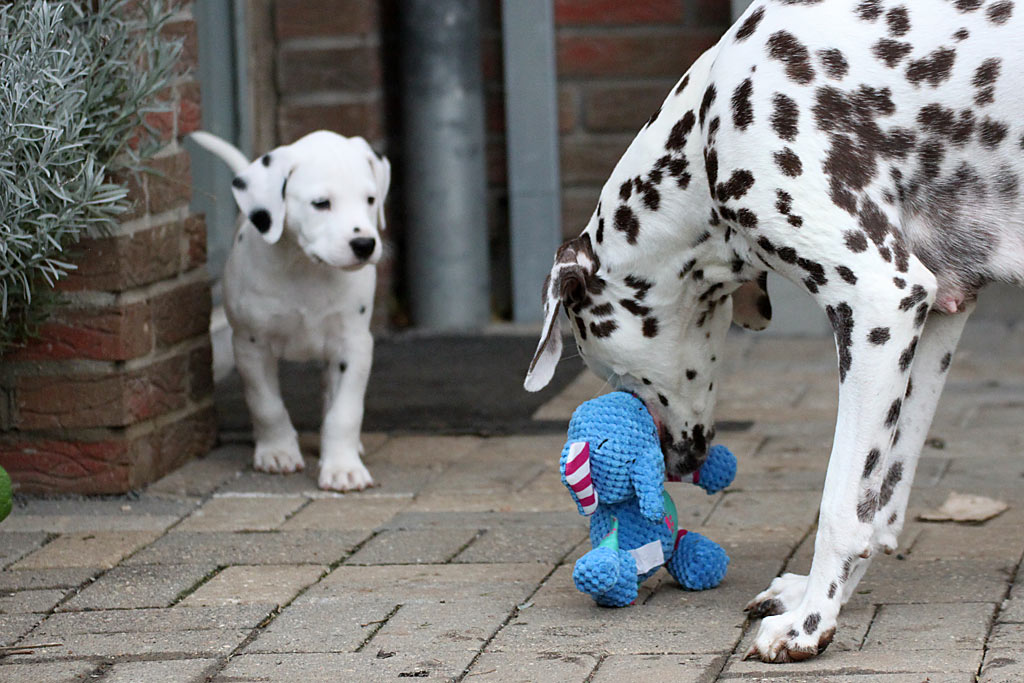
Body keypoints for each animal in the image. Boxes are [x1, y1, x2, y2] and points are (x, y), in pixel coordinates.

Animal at [190, 130, 390, 492]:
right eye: (321, 203)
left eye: (370, 199)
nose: (364, 244)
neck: (305, 268)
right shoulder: (251, 346)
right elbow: (266, 404)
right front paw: (277, 451)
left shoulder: (353, 346)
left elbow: (344, 411)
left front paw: (342, 466)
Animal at [525, 0, 1022, 663]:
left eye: (612, 372)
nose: (675, 460)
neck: (711, 121)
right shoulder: (935, 314)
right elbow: (879, 501)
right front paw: (818, 594)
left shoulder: (878, 301)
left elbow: (840, 506)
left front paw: (811, 622)